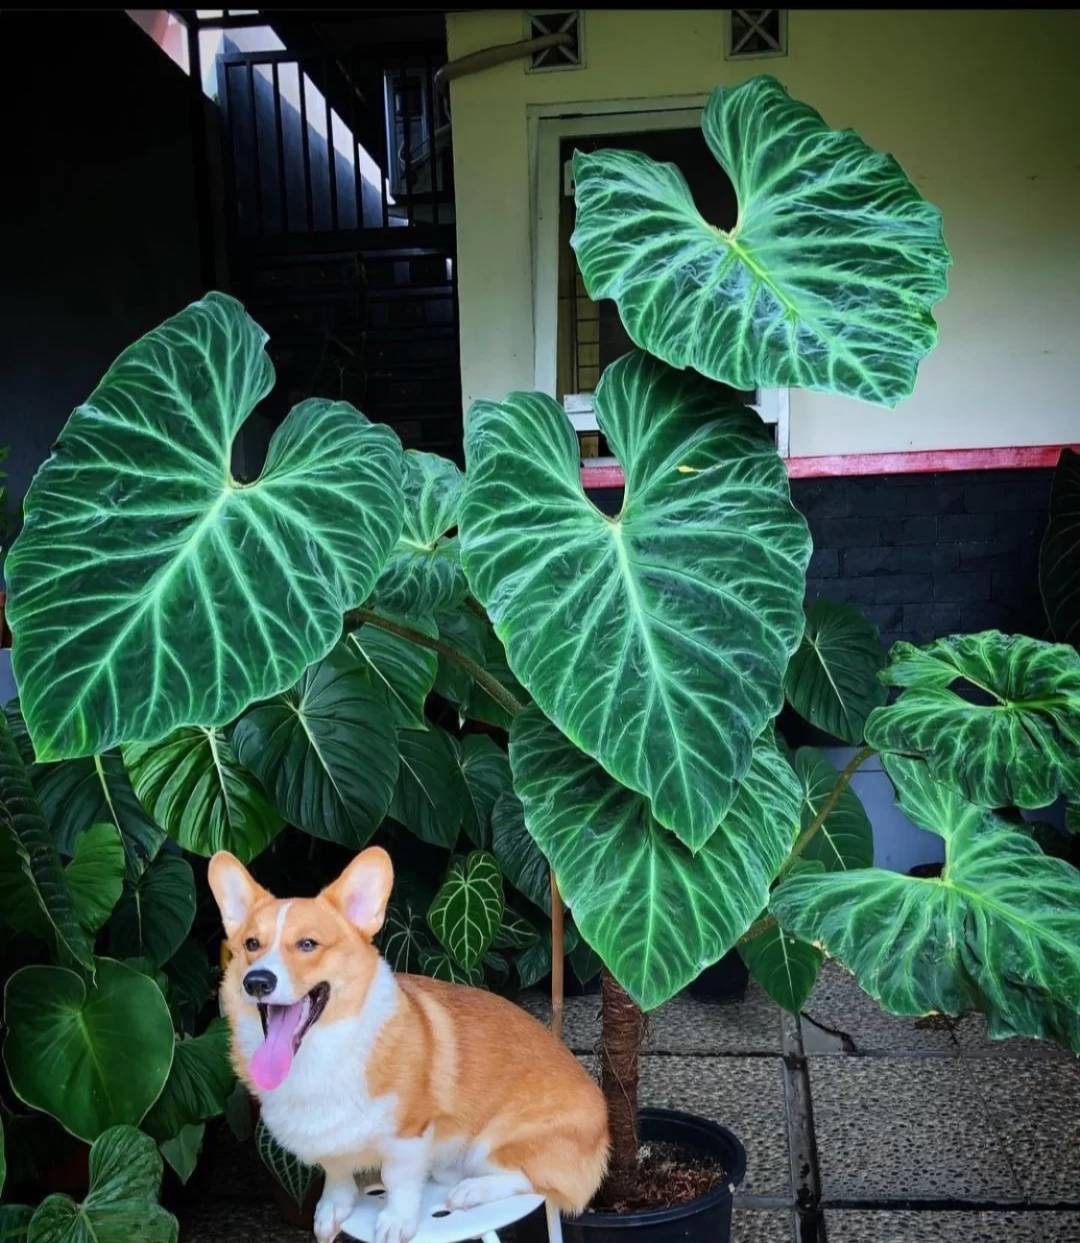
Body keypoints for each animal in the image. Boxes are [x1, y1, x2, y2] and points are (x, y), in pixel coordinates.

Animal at [211, 845, 611, 1243]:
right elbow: (336, 1172)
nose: (257, 981)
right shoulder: (328, 1141)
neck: (321, 1053)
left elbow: (397, 1179)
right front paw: (332, 1208)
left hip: (498, 1138)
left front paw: (395, 1221)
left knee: (536, 1182)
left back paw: (472, 1190)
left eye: (308, 944)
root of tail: (604, 1129)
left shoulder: (410, 1132)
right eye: (251, 944)